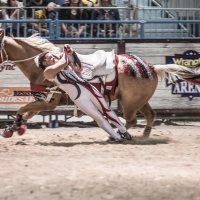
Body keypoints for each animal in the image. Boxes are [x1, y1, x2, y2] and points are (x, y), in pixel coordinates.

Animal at [0, 30, 199, 139]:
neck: (40, 69)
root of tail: (152, 67)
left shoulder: (49, 103)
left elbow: (21, 109)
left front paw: (14, 128)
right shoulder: (43, 102)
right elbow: (26, 113)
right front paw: (14, 128)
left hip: (129, 103)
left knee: (131, 120)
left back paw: (114, 136)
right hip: (140, 101)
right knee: (150, 115)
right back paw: (143, 136)